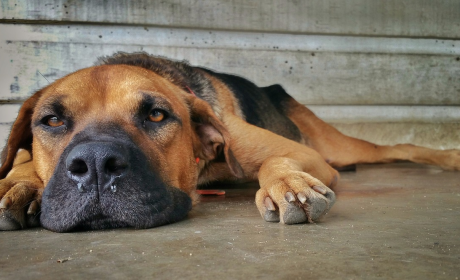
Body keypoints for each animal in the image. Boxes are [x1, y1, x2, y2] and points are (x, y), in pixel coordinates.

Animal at [0, 52, 460, 232]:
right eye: (53, 120)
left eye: (156, 115)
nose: (96, 165)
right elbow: (22, 163)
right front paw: (19, 183)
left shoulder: (305, 154)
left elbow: (278, 162)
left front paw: (289, 185)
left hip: (336, 148)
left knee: (398, 149)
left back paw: (450, 157)